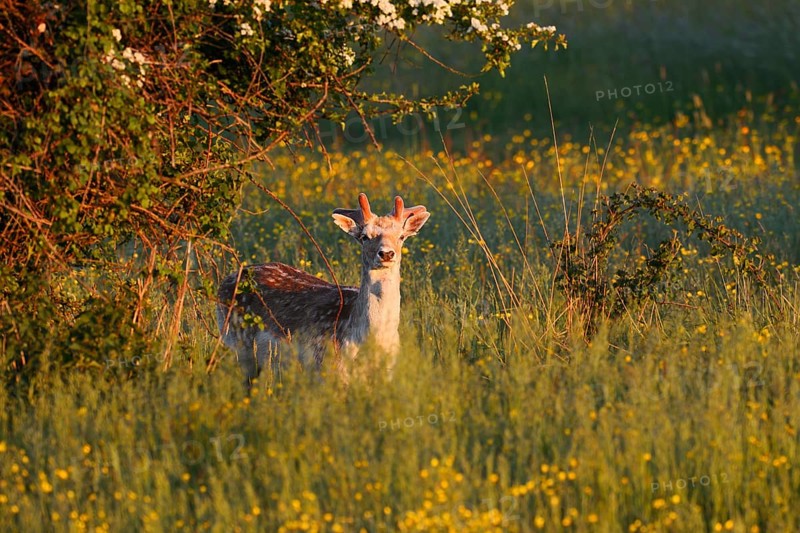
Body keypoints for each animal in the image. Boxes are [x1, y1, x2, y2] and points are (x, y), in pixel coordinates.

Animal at [216, 193, 430, 384]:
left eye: (401, 236)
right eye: (364, 237)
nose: (386, 253)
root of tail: (229, 278)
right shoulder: (330, 368)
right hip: (238, 344)